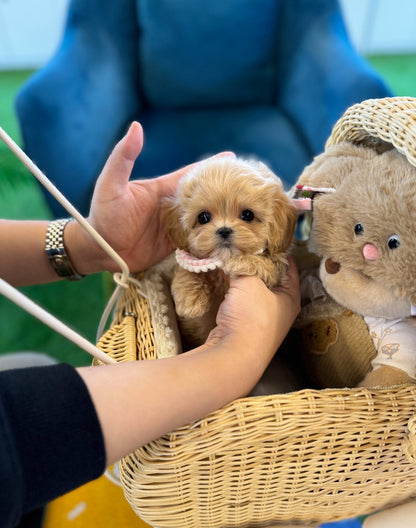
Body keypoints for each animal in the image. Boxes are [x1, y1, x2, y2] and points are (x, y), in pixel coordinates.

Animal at [162, 155, 300, 348]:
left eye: (248, 215)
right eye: (203, 217)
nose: (224, 230)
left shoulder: (277, 271)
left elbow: (266, 265)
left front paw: (241, 262)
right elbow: (185, 270)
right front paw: (190, 300)